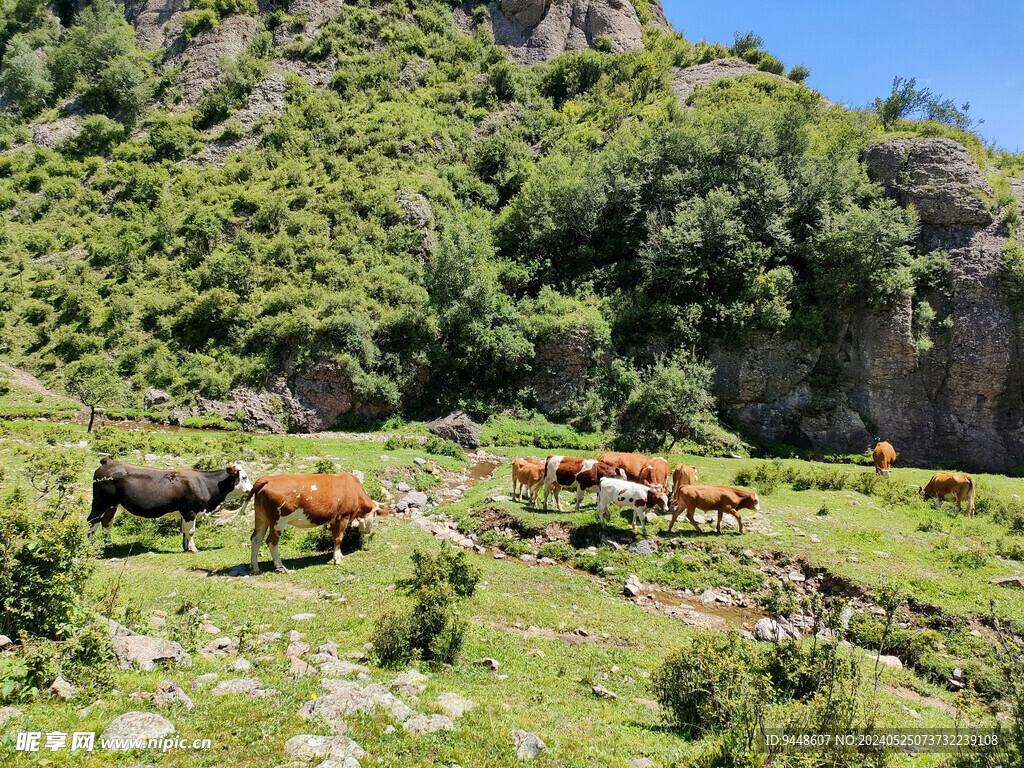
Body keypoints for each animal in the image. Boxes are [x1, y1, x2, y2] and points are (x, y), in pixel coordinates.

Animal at [90, 456, 253, 552]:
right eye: (244, 477)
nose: (251, 489)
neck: (206, 483)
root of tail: (108, 461)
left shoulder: (184, 512)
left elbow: (185, 530)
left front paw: (186, 547)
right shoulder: (190, 511)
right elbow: (191, 531)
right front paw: (193, 549)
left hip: (112, 505)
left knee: (106, 523)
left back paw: (109, 545)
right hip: (100, 503)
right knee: (93, 521)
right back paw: (89, 545)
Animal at [235, 473, 385, 573]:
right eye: (375, 517)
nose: (367, 531)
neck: (353, 490)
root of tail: (268, 479)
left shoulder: (333, 519)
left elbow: (334, 538)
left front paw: (339, 555)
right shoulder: (342, 517)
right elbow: (338, 538)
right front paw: (337, 560)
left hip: (261, 518)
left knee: (256, 539)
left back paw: (255, 568)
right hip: (278, 521)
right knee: (272, 542)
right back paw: (281, 567)